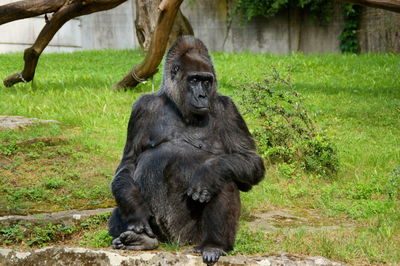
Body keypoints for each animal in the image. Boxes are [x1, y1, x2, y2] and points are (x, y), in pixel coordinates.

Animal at [109, 36, 266, 264]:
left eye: (207, 81)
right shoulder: (142, 108)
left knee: (225, 177)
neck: (178, 106)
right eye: (193, 80)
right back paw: (142, 240)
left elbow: (249, 160)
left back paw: (214, 244)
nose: (202, 95)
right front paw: (135, 208)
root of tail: (176, 242)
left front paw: (208, 173)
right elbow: (128, 164)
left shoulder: (229, 109)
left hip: (192, 236)